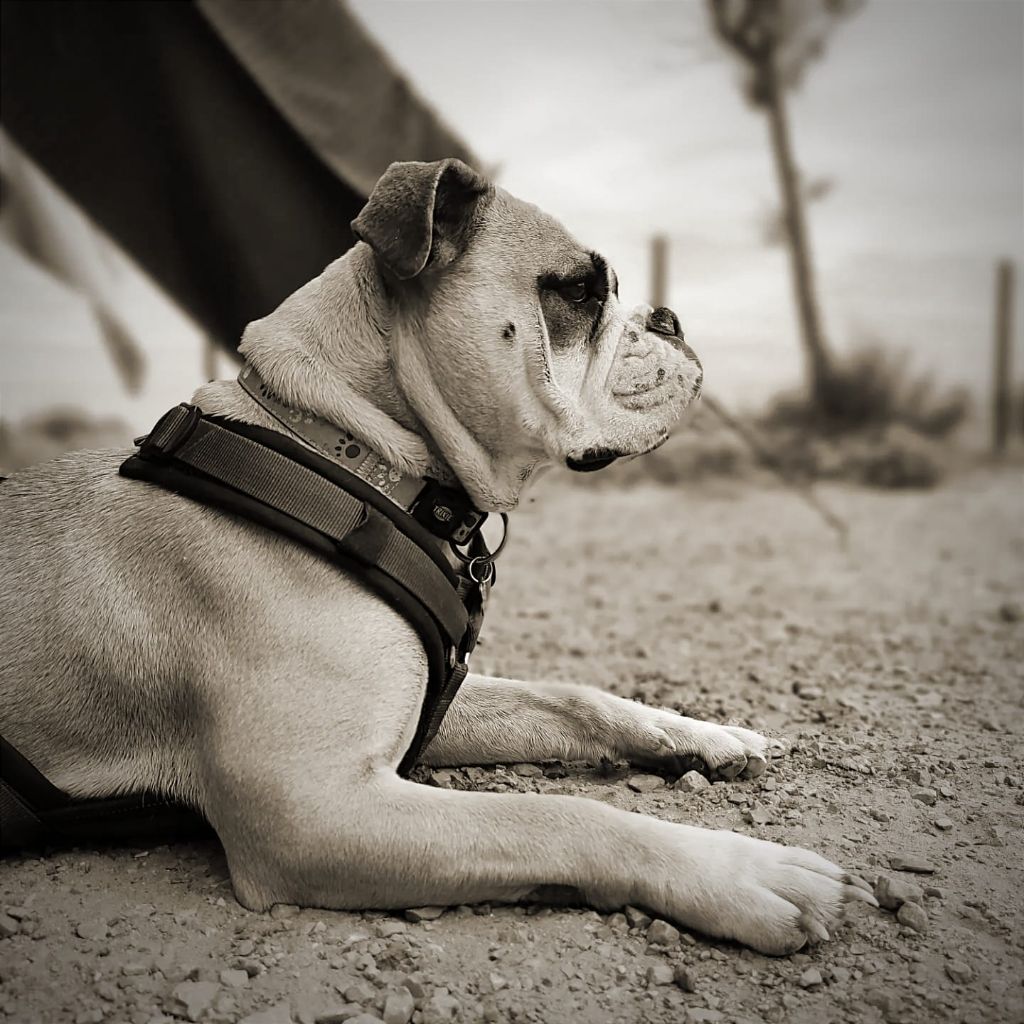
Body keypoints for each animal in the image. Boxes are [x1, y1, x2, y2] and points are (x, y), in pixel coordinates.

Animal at [2, 157, 872, 950]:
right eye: (580, 292)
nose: (669, 318)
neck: (348, 451)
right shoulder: (315, 808)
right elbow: (560, 818)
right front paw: (741, 871)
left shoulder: (427, 711)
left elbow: (574, 697)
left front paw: (703, 734)